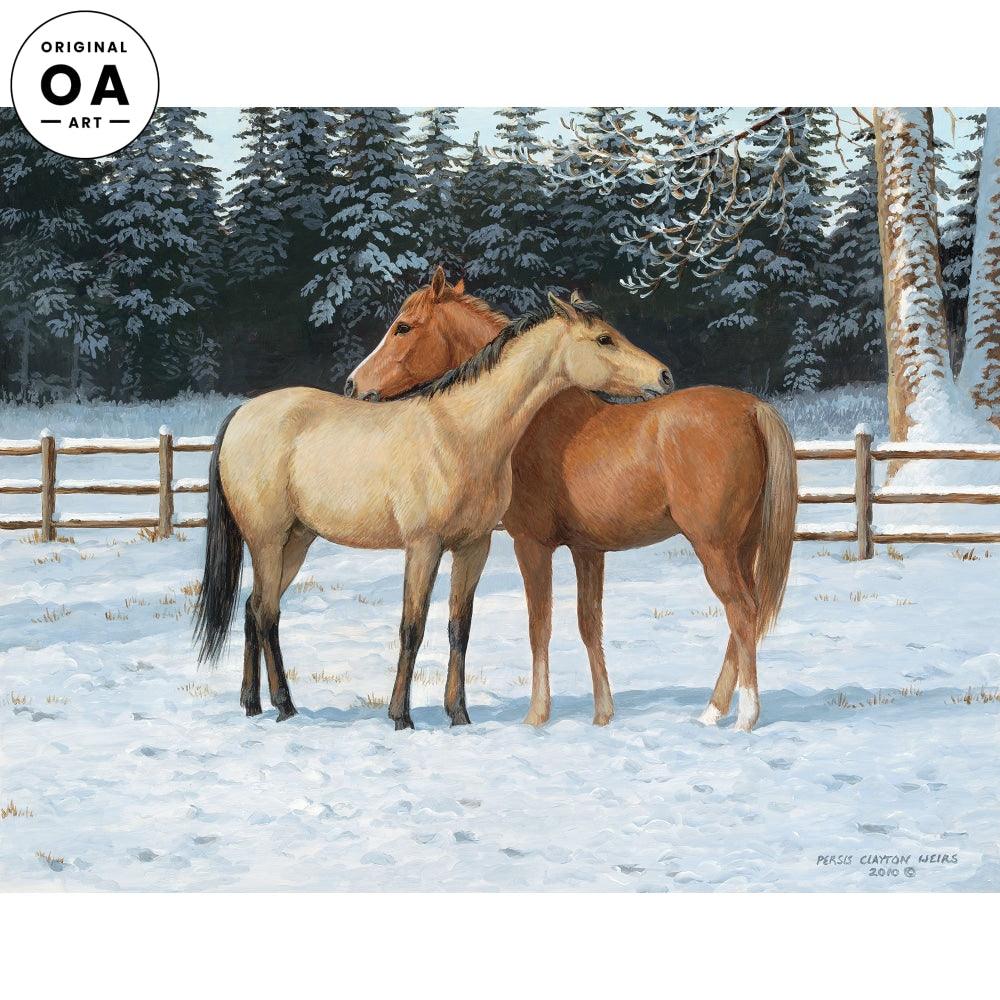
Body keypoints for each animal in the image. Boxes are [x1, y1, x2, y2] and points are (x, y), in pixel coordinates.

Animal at [193, 293, 673, 731]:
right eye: (605, 339)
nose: (665, 376)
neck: (462, 432)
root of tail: (243, 412)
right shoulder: (423, 546)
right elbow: (413, 627)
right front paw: (401, 716)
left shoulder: (474, 546)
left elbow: (459, 627)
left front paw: (459, 715)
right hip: (268, 540)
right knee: (268, 614)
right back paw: (285, 706)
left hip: (296, 540)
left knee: (255, 607)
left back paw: (253, 704)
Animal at [345, 267, 798, 732]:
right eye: (604, 338)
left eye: (403, 327)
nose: (354, 384)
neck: (539, 421)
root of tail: (753, 409)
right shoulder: (588, 549)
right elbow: (588, 624)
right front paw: (602, 715)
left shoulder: (531, 545)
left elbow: (539, 625)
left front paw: (536, 716)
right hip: (742, 547)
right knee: (745, 616)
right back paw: (712, 712)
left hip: (715, 547)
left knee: (741, 612)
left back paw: (745, 716)